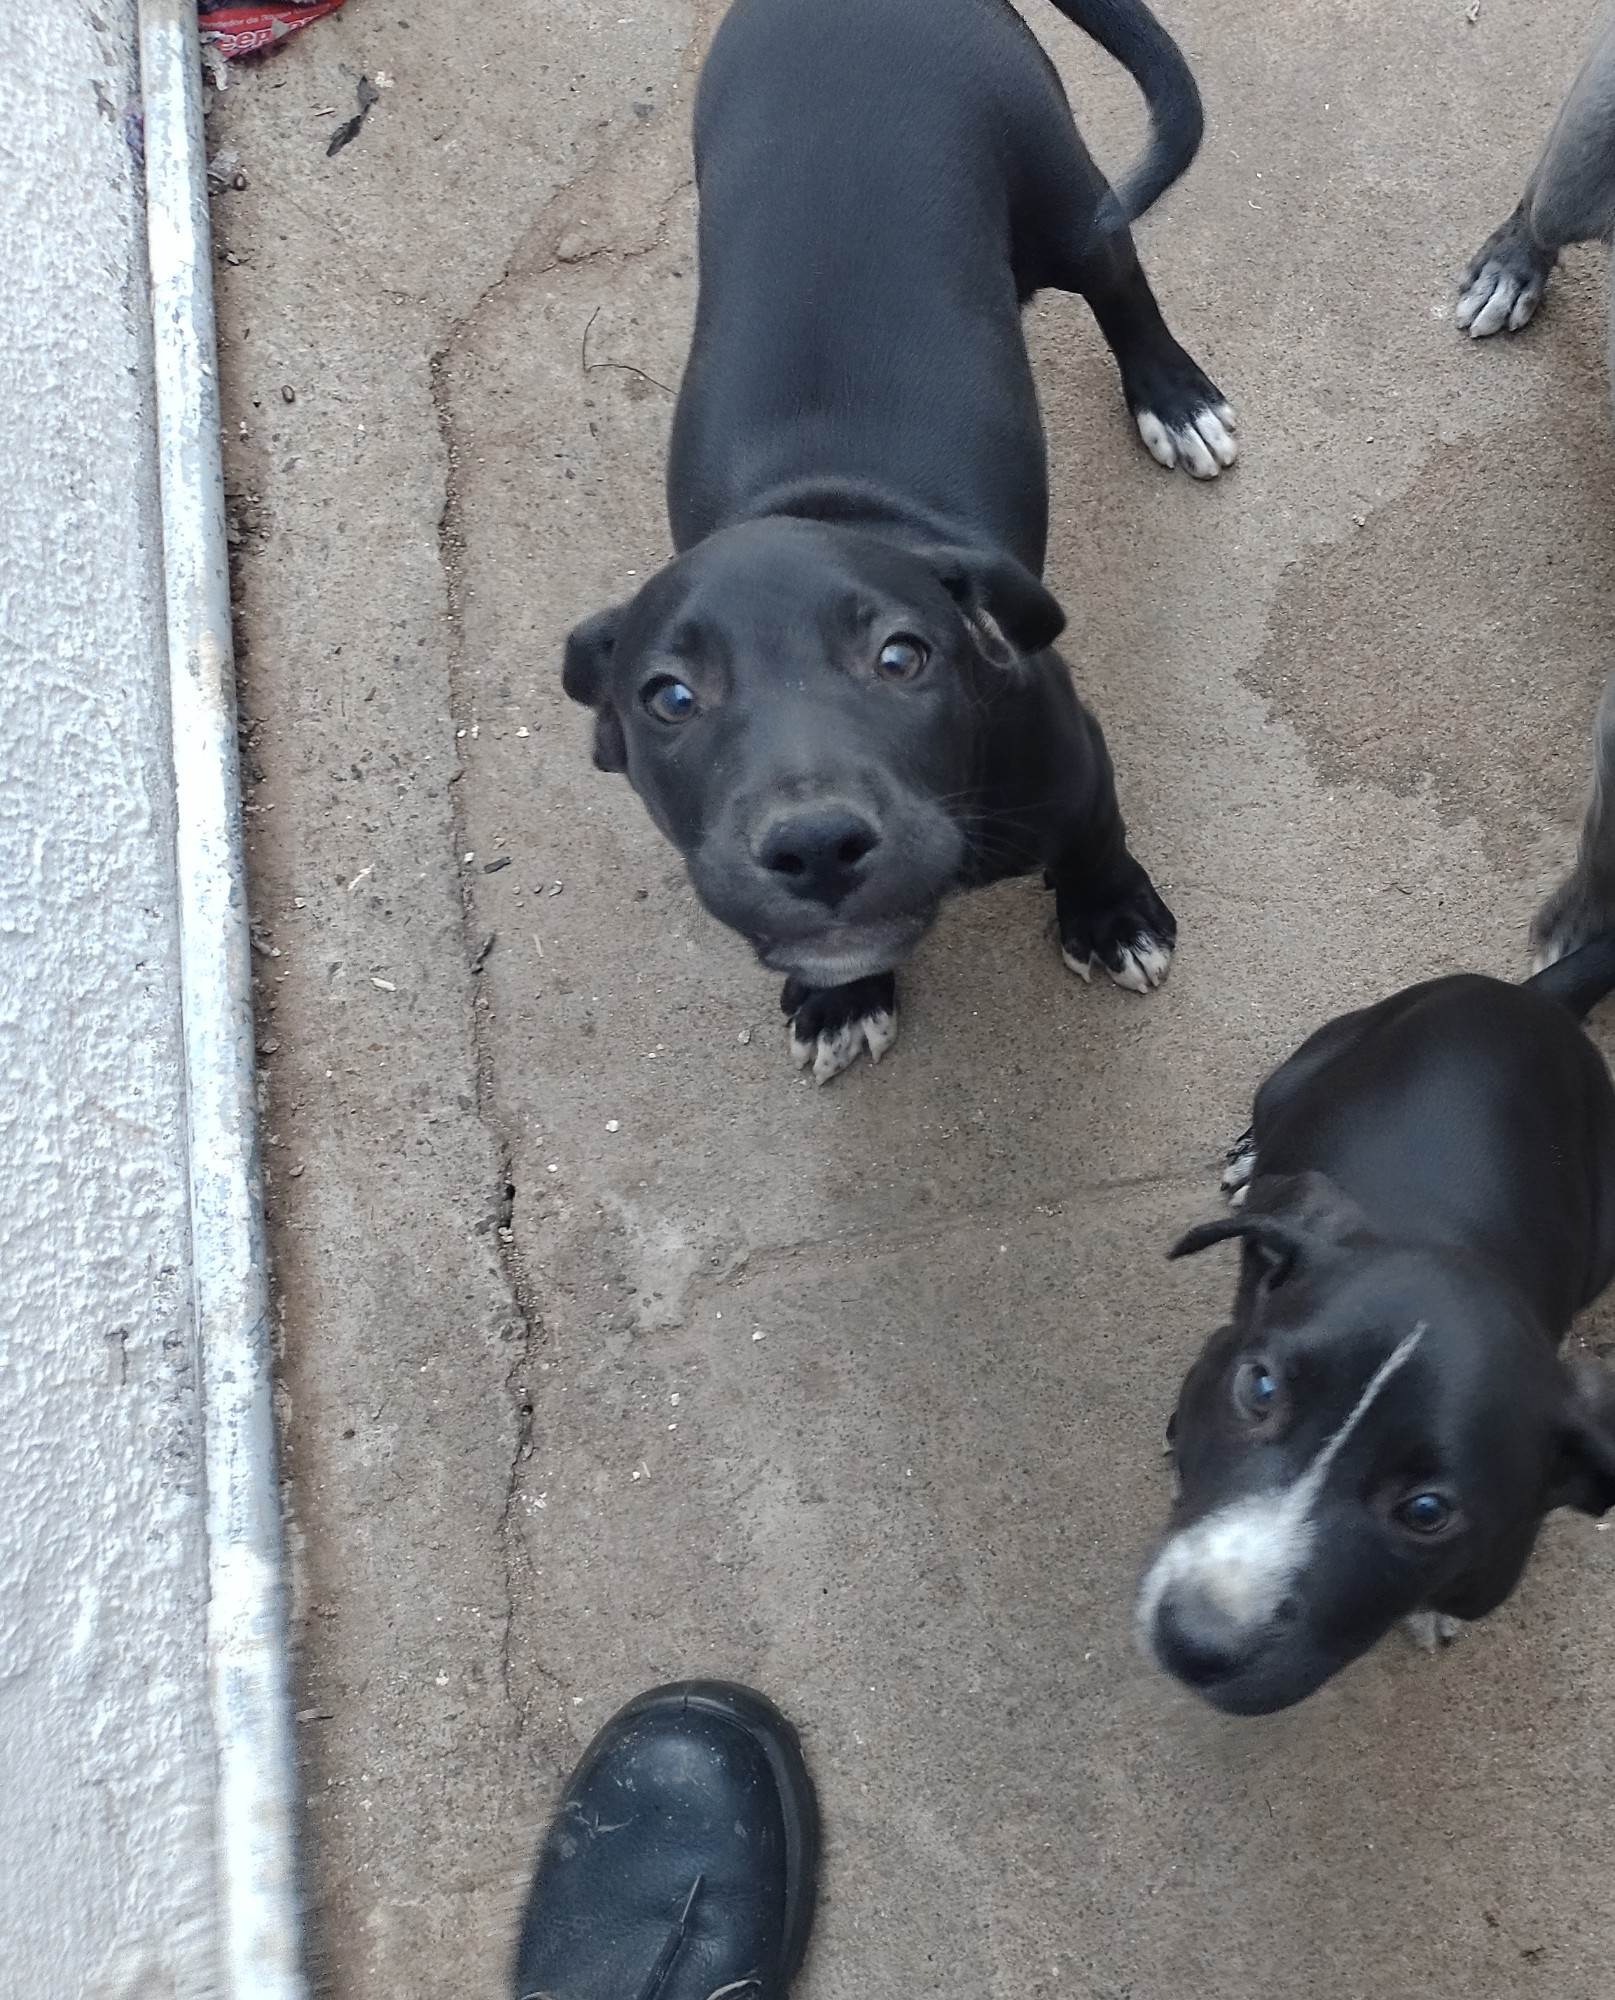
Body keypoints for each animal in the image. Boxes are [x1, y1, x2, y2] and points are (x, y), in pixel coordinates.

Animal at [563, 0, 1234, 1082]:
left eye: (899, 657)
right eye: (668, 698)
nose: (814, 844)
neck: (825, 507)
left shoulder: (1074, 755)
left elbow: (1096, 834)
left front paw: (1112, 916)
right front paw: (842, 1000)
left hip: (1055, 182)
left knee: (1117, 272)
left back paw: (1176, 399)